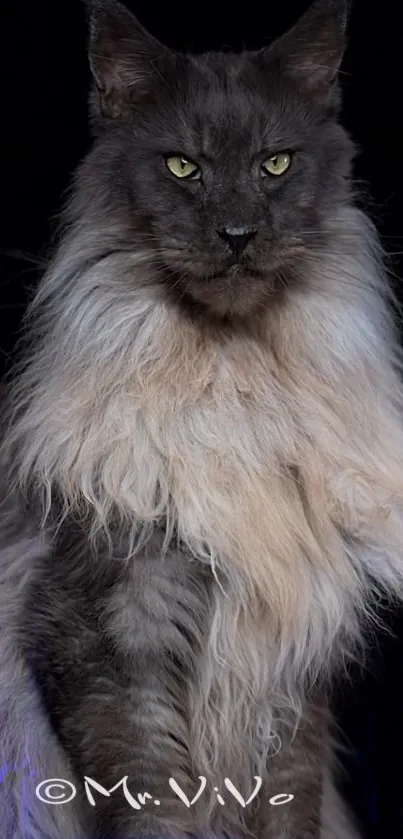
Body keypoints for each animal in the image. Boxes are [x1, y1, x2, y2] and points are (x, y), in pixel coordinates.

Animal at [0, 0, 403, 836]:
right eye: (182, 167)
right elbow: (153, 799)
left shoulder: (292, 666)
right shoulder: (112, 630)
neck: (231, 387)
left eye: (275, 165)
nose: (238, 234)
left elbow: (289, 806)